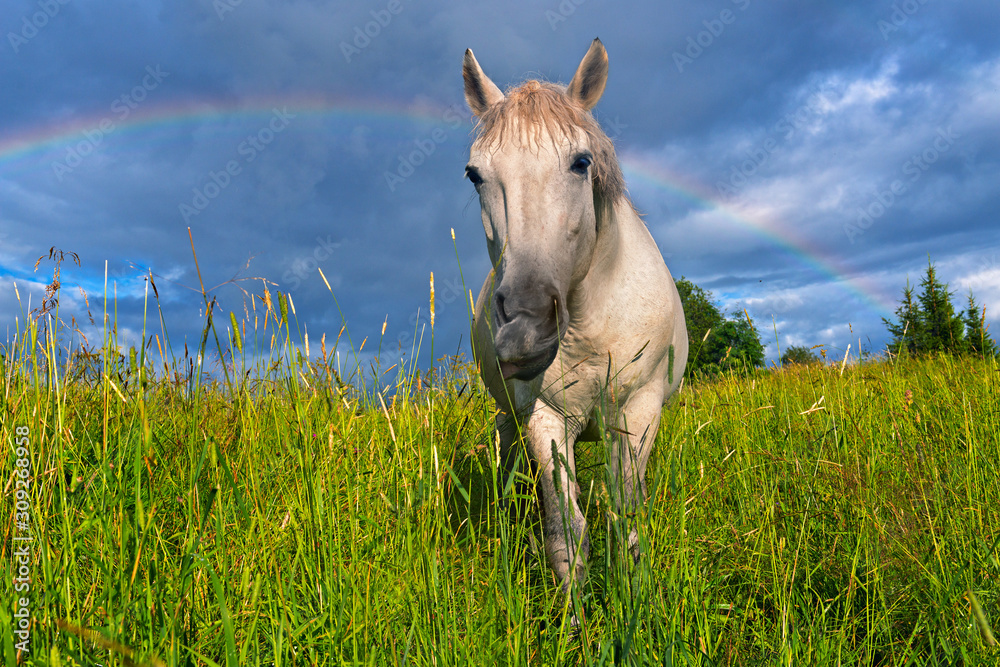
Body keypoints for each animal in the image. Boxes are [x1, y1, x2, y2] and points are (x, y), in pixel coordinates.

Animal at [462, 37, 688, 588]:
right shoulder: (544, 416)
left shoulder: (637, 412)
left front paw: (633, 598)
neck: (589, 323)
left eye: (581, 162)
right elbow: (566, 532)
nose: (525, 327)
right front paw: (573, 612)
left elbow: (623, 517)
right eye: (474, 174)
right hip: (511, 418)